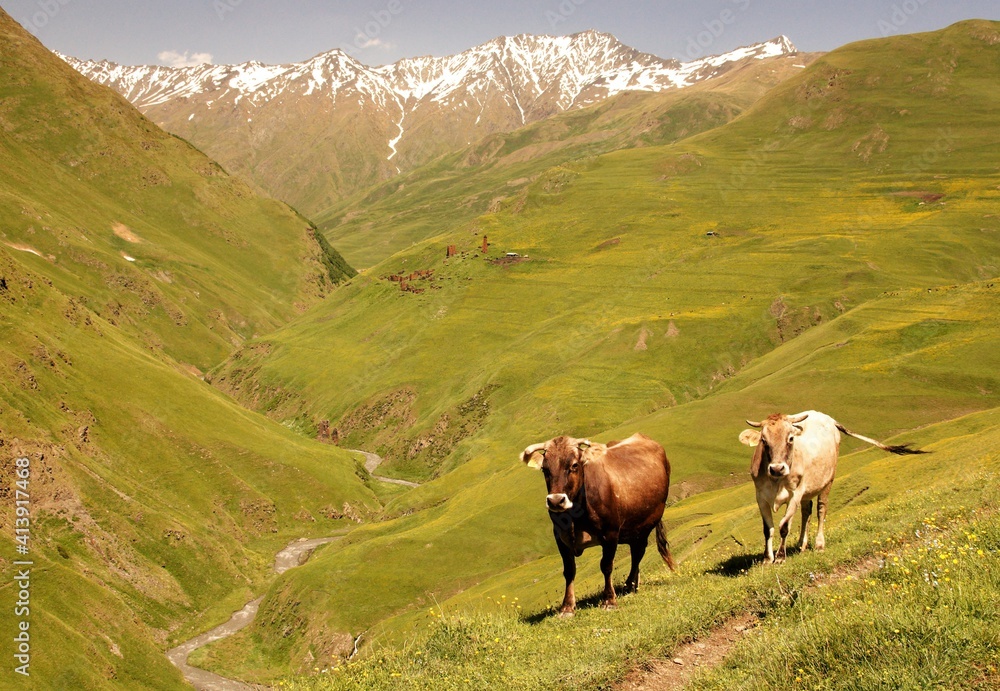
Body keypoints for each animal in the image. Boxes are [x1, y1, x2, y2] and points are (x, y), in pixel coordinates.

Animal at [521, 433, 676, 616]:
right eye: (545, 469)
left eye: (574, 465)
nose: (556, 501)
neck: (576, 517)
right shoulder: (560, 537)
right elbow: (569, 570)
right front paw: (567, 607)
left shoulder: (610, 533)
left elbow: (606, 565)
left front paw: (609, 600)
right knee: (635, 551)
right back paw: (635, 584)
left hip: (647, 523)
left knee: (638, 553)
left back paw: (629, 585)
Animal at [739, 411, 927, 563]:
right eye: (764, 440)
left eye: (790, 438)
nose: (777, 468)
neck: (776, 481)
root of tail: (827, 417)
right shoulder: (761, 496)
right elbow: (768, 529)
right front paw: (767, 558)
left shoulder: (795, 493)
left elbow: (784, 526)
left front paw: (779, 557)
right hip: (809, 488)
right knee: (806, 511)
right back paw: (801, 544)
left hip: (828, 481)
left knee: (821, 509)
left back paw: (819, 544)